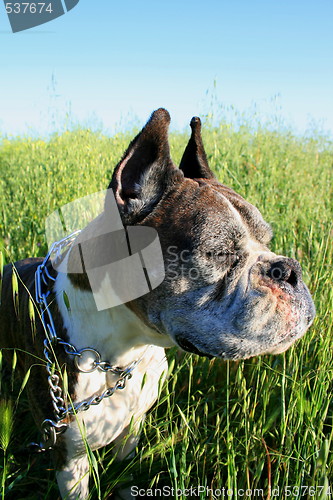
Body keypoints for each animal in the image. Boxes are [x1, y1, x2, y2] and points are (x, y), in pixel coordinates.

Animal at [0, 107, 314, 498]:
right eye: (219, 253)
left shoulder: (132, 428)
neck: (122, 354)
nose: (288, 270)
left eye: (267, 240)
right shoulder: (70, 459)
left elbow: (126, 476)